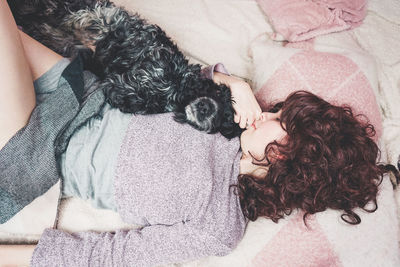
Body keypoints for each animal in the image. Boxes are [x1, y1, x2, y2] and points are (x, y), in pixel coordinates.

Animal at [8, 1, 244, 140]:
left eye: (225, 119)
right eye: (215, 92)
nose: (206, 107)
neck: (178, 91)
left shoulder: (122, 89)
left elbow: (126, 91)